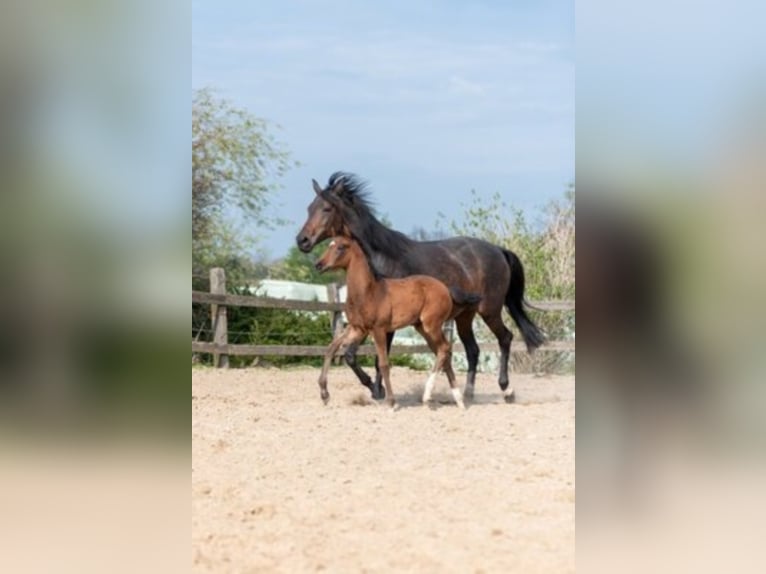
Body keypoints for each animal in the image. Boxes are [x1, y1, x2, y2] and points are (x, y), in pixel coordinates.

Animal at [314, 237, 480, 410]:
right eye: (329, 245)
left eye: (341, 247)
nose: (318, 265)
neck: (368, 292)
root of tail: (446, 289)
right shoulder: (357, 329)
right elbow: (331, 348)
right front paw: (324, 394)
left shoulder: (378, 330)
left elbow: (383, 364)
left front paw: (391, 402)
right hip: (423, 328)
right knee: (444, 352)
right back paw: (458, 400)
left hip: (432, 326)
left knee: (444, 348)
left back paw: (428, 395)